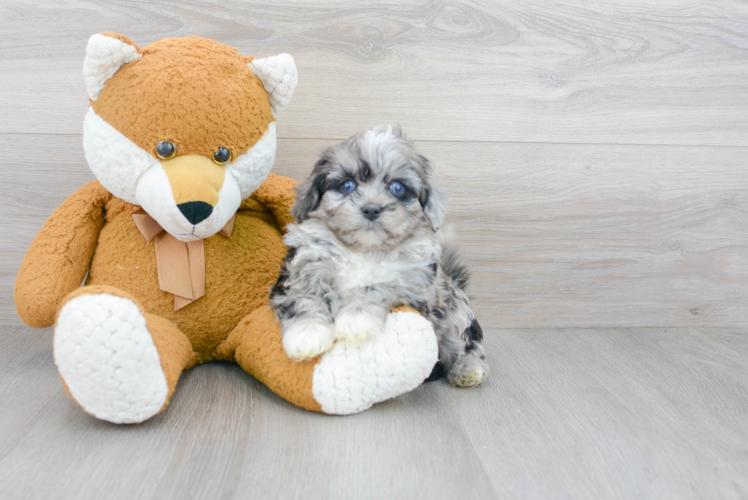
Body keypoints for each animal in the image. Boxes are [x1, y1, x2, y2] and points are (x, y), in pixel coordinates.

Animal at [272, 125, 488, 386]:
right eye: (347, 185)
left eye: (397, 187)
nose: (371, 209)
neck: (364, 248)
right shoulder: (302, 266)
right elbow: (303, 296)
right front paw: (307, 334)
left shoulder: (411, 284)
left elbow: (376, 288)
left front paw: (355, 321)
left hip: (453, 312)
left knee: (466, 344)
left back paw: (468, 369)